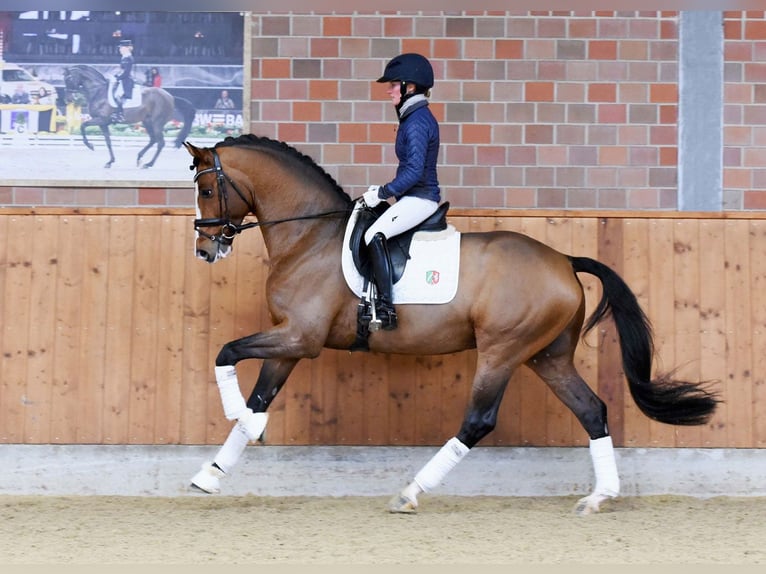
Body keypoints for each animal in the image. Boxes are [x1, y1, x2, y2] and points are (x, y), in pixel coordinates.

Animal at [63, 64, 196, 169]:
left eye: (69, 79)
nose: (68, 99)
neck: (98, 91)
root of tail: (170, 96)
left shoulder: (101, 119)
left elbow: (83, 125)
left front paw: (90, 146)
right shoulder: (103, 123)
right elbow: (108, 141)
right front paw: (110, 162)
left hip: (157, 123)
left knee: (160, 143)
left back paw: (149, 164)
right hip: (147, 122)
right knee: (153, 139)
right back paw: (139, 157)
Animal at [182, 134, 720, 515]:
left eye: (207, 189)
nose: (205, 250)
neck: (309, 236)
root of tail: (565, 261)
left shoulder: (301, 337)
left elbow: (226, 353)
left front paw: (240, 421)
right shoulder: (291, 340)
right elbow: (258, 394)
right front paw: (213, 470)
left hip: (502, 351)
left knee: (478, 421)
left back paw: (411, 492)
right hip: (548, 356)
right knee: (592, 410)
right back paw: (599, 497)